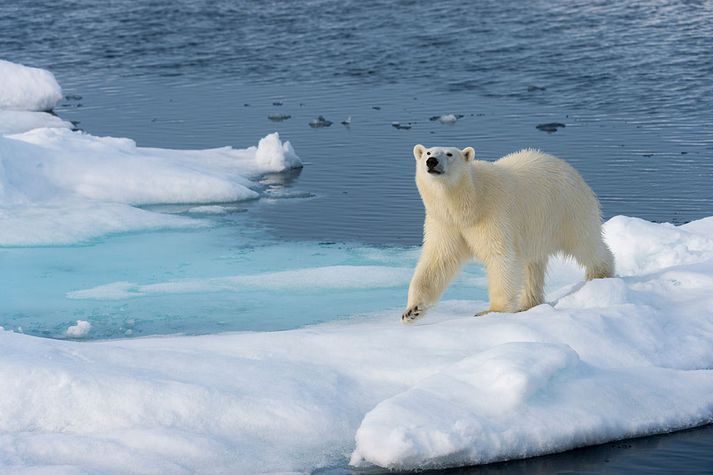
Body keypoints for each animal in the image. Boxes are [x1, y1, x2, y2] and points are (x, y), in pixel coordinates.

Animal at [404, 145, 616, 324]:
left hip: (567, 209)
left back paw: (599, 274)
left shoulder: (493, 214)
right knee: (532, 266)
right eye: (428, 152)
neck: (469, 203)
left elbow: (501, 256)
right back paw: (528, 303)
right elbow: (437, 261)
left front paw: (492, 311)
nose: (431, 162)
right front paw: (412, 311)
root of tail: (572, 170)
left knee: (585, 243)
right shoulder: (445, 222)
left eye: (449, 154)